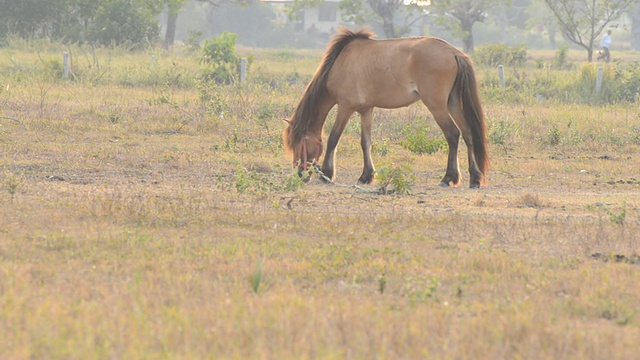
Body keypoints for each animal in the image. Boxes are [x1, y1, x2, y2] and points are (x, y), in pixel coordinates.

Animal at [282, 27, 488, 188]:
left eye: (299, 143)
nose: (300, 175)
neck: (340, 64)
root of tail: (454, 52)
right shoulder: (366, 110)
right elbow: (365, 142)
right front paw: (366, 176)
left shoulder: (345, 107)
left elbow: (333, 138)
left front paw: (327, 173)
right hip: (452, 103)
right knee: (467, 133)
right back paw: (474, 178)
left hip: (437, 106)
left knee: (453, 134)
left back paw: (447, 178)